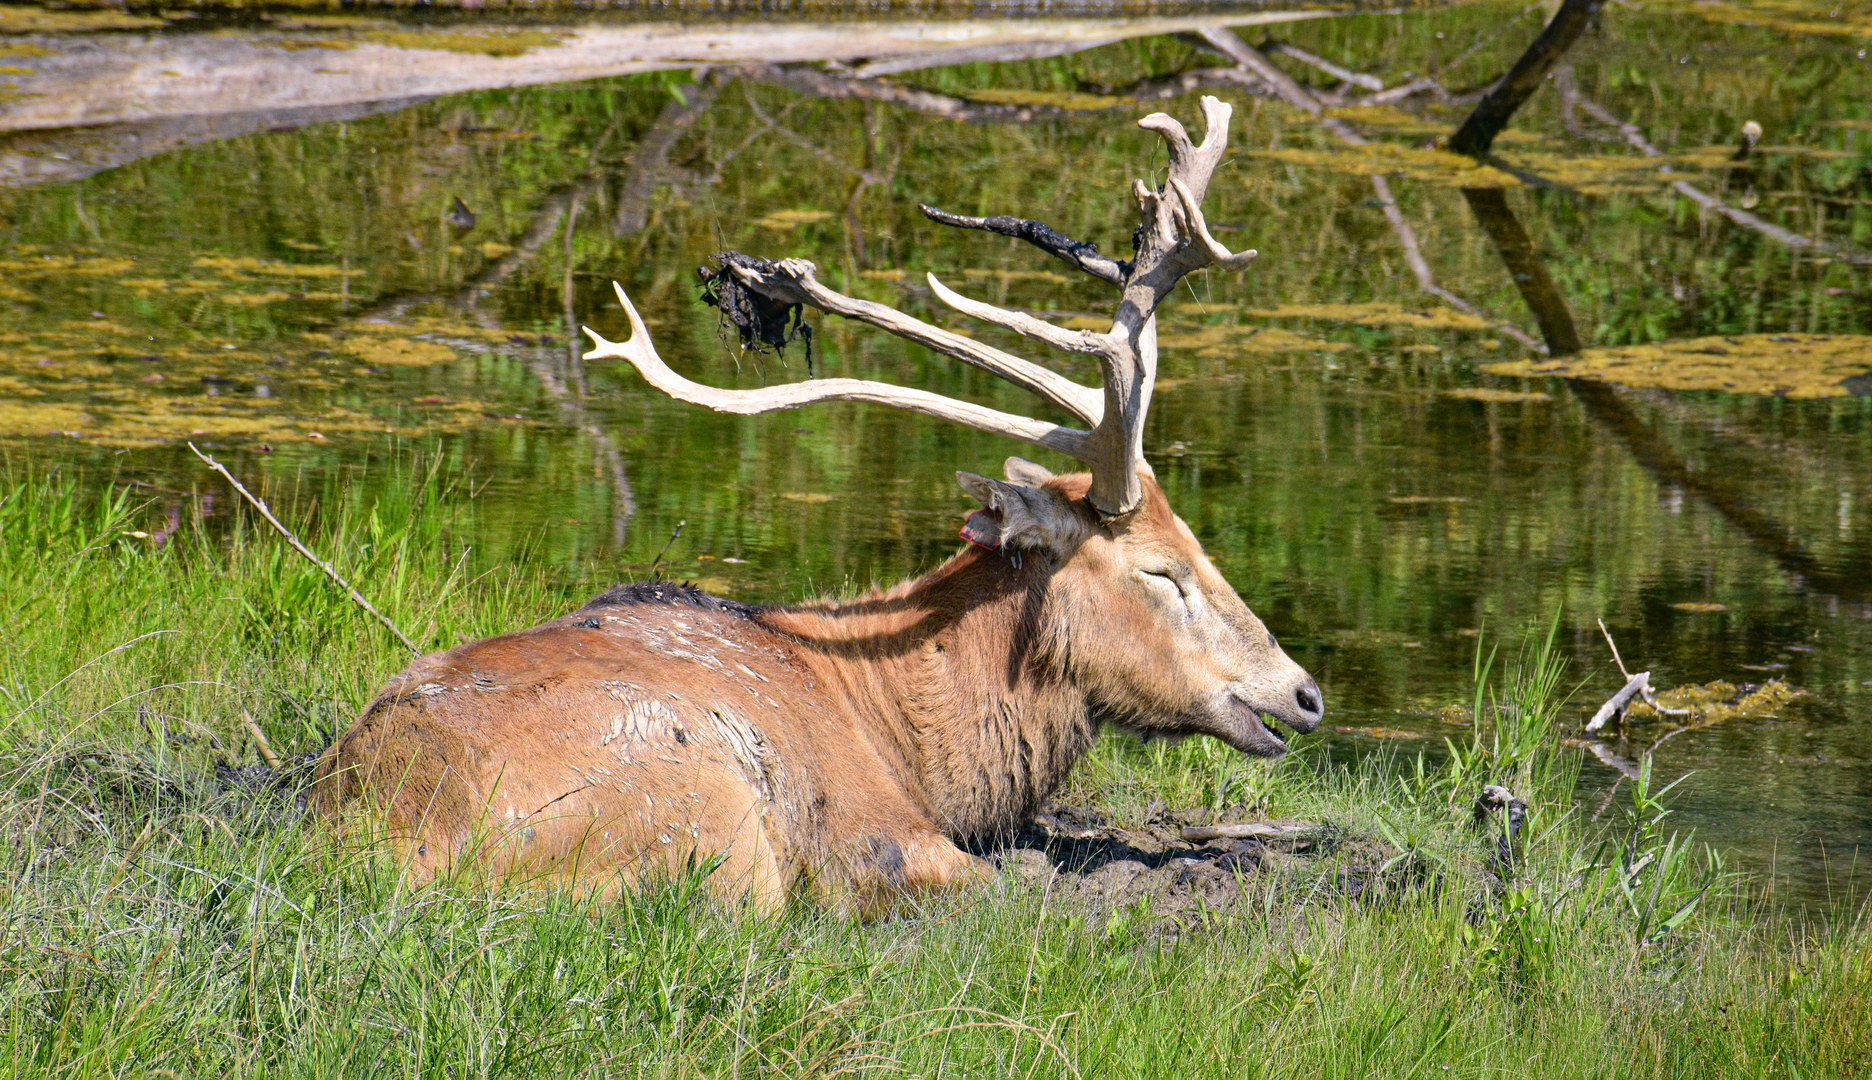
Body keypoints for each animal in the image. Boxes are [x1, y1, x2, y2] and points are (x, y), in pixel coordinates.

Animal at [309, 97, 1324, 915]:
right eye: (1164, 570)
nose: (1305, 693)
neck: (925, 746)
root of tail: (396, 839)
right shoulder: (887, 837)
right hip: (715, 833)